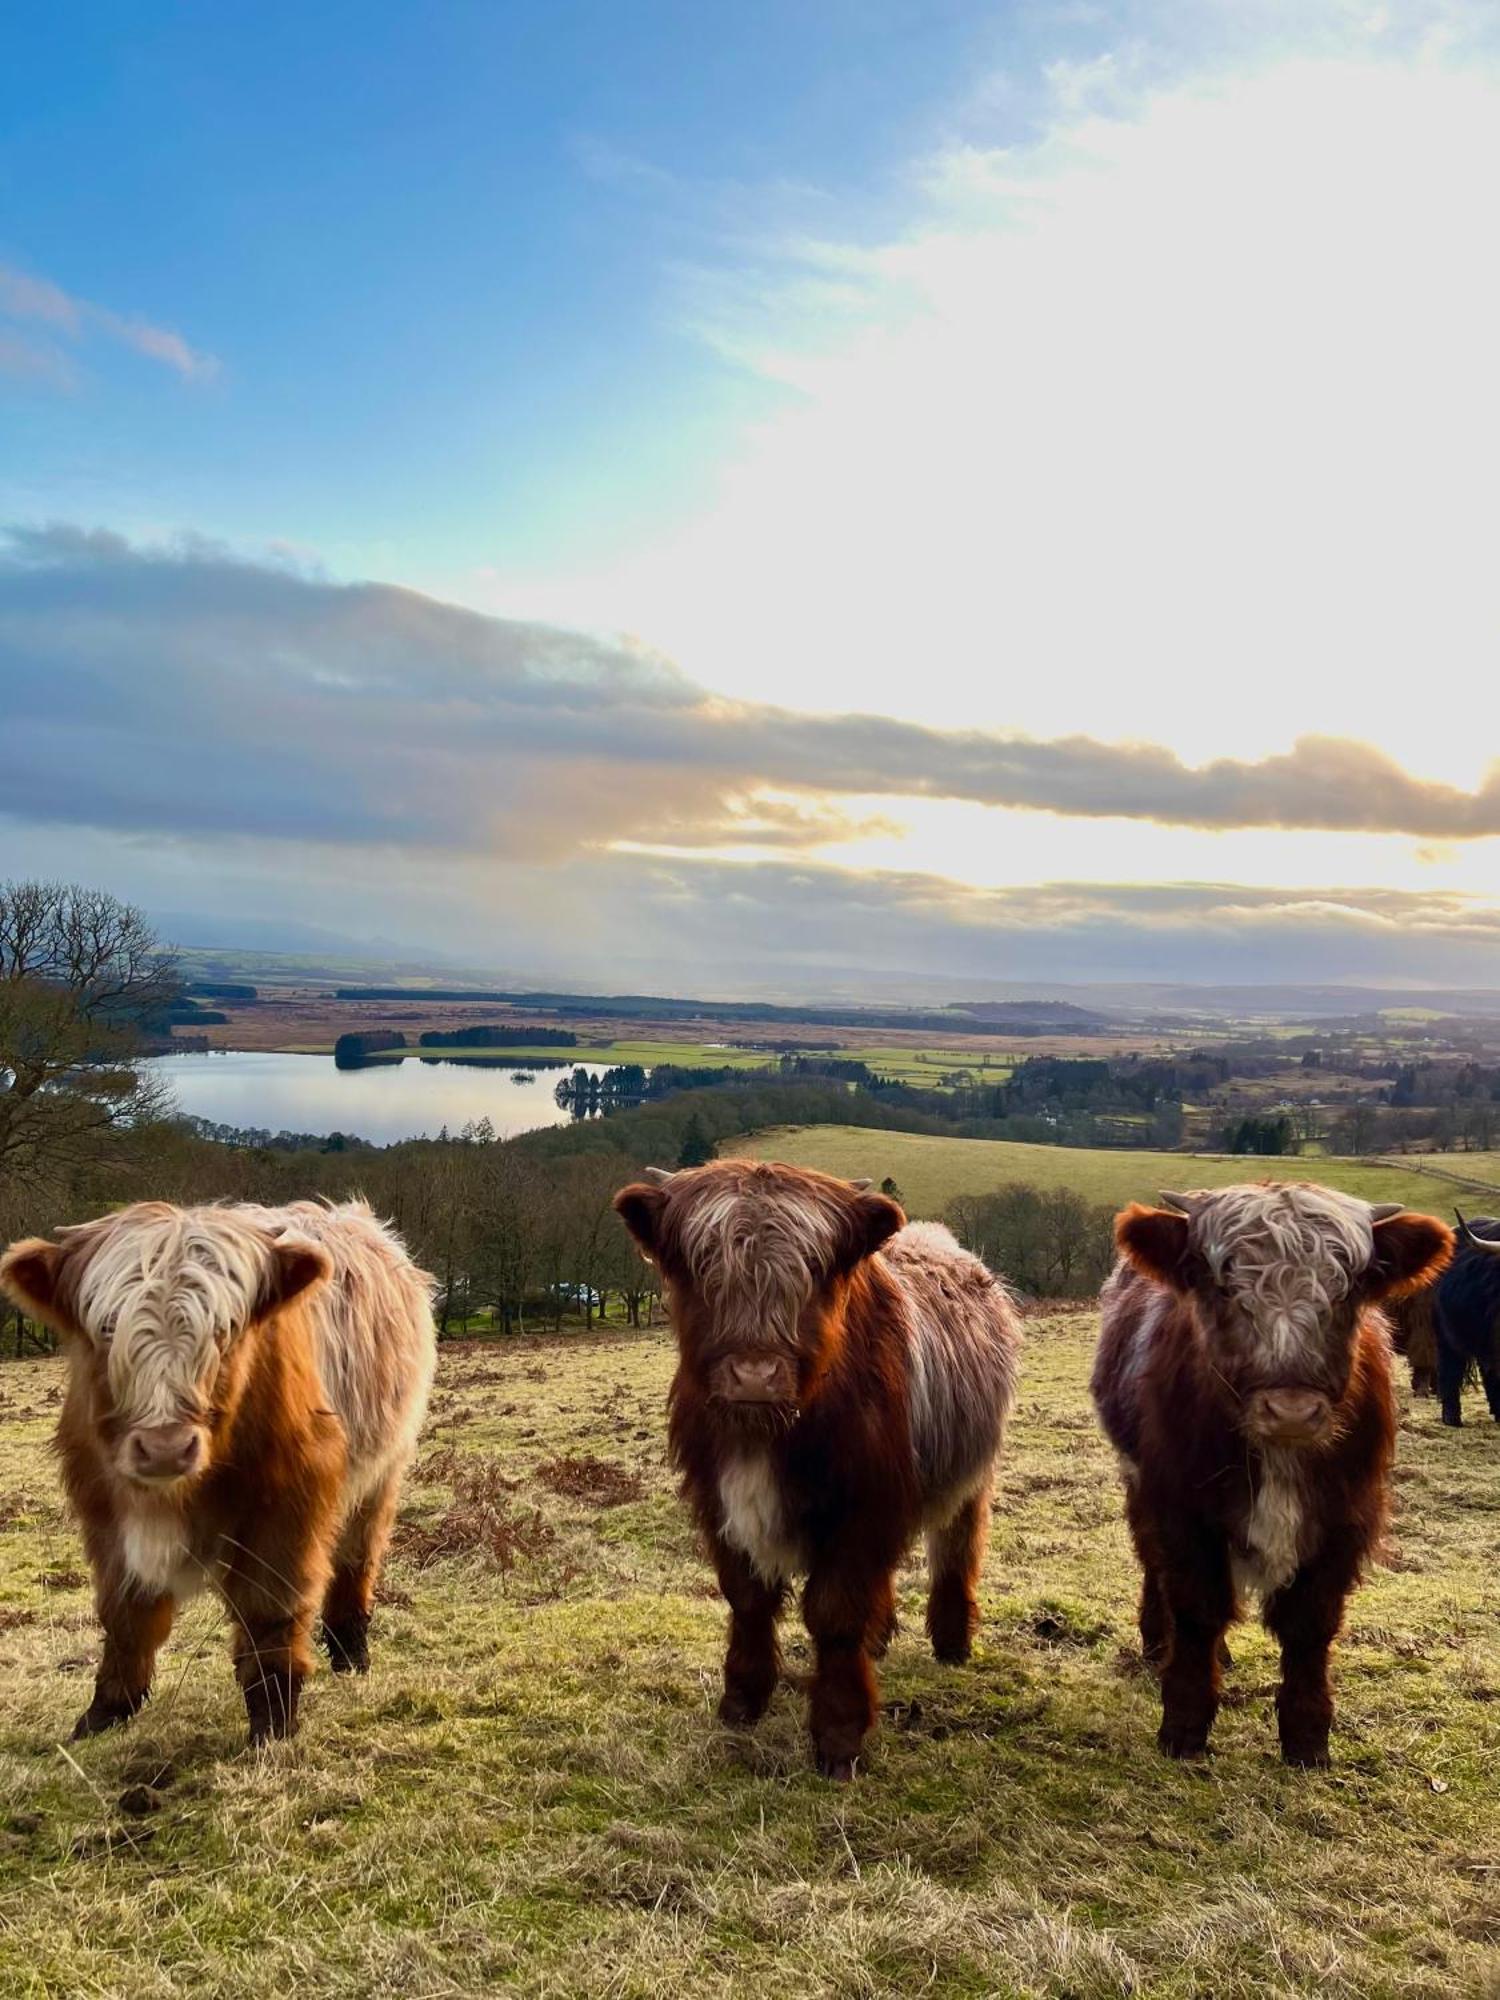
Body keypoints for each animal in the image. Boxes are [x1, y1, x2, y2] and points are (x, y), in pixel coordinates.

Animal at [0, 1192, 434, 1744]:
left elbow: (270, 1613)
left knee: (358, 1556)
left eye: (225, 1330)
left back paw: (350, 1650)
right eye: (106, 1328)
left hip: (382, 1472)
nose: (165, 1448)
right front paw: (106, 1711)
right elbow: (125, 1617)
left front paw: (273, 1720)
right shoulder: (102, 1508)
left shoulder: (286, 1510)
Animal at [612, 1160, 1024, 1784]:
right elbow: (748, 1601)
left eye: (812, 1270)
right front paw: (742, 1700)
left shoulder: (861, 1509)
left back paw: (952, 1642)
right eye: (705, 1265)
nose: (755, 1375)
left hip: (970, 1476)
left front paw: (839, 1735)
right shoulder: (718, 1504)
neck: (765, 1432)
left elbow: (836, 1616)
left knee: (957, 1547)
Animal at [1096, 1184, 1456, 1768]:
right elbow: (1196, 1609)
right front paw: (1184, 1725)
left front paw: (1307, 1738)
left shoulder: (1347, 1517)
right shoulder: (1181, 1508)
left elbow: (1311, 1625)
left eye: (1349, 1289)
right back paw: (1157, 1640)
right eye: (1222, 1286)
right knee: (1153, 1563)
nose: (1291, 1411)